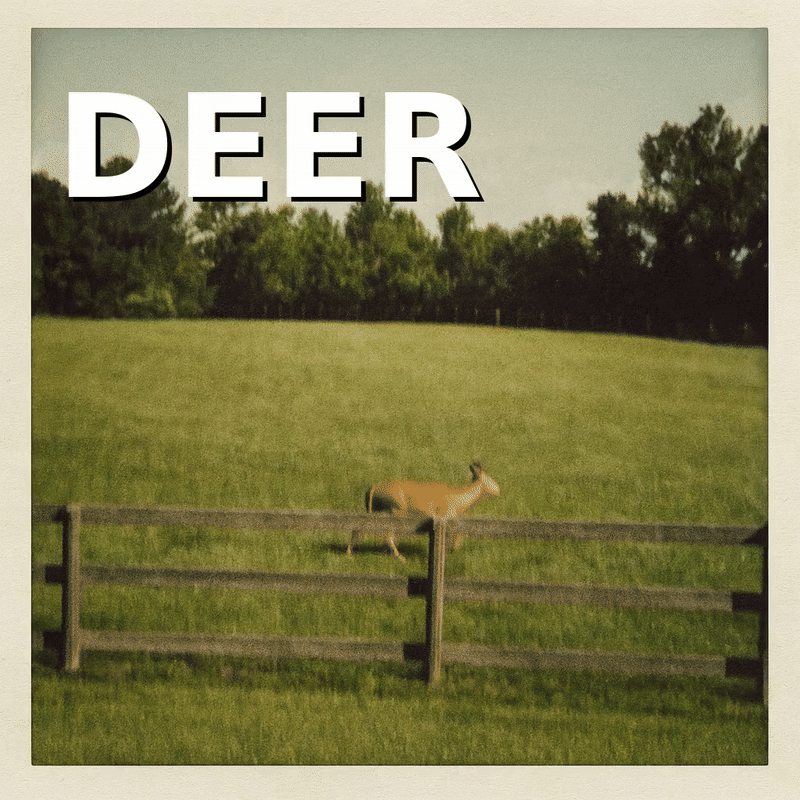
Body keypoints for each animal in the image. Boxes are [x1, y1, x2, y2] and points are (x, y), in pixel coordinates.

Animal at [347, 462, 500, 561]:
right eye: (490, 478)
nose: (498, 490)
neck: (460, 498)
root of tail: (373, 488)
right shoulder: (445, 516)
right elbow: (457, 535)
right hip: (395, 511)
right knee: (387, 535)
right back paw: (399, 556)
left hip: (373, 512)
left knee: (359, 528)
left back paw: (351, 552)